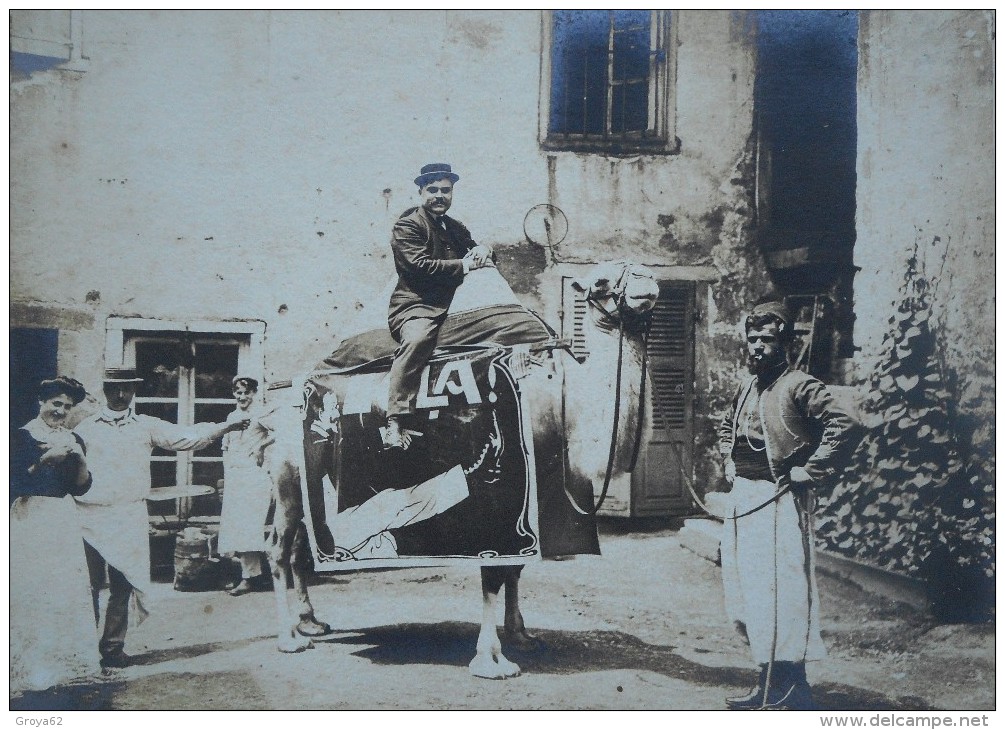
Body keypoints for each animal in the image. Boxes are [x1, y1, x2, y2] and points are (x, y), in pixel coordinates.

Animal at [245, 265, 659, 679]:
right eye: (600, 282)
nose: (647, 281)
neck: (564, 407)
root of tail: (270, 413)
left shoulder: (532, 495)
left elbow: (515, 568)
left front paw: (520, 634)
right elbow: (493, 573)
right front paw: (491, 660)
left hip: (302, 486)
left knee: (300, 545)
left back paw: (311, 622)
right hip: (286, 479)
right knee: (278, 546)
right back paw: (289, 638)